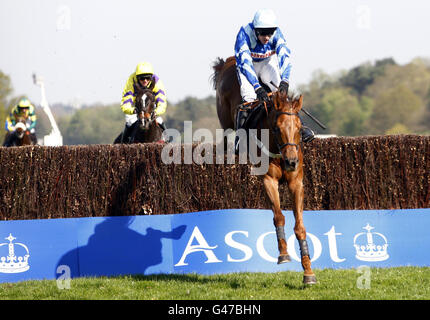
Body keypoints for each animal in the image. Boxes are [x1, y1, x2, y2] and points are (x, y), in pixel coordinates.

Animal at [212, 56, 316, 284]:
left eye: (299, 127)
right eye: (277, 128)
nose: (291, 162)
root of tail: (228, 61)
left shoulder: (296, 182)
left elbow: (300, 226)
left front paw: (308, 272)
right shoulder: (268, 180)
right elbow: (279, 216)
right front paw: (284, 254)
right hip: (226, 114)